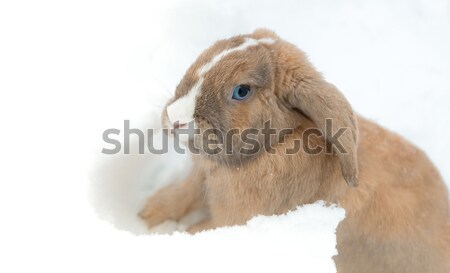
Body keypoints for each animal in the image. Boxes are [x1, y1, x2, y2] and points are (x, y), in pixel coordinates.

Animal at [139, 29, 448, 272]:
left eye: (241, 91)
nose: (174, 118)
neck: (278, 144)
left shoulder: (230, 220)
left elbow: (197, 230)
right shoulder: (198, 180)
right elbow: (182, 194)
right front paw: (147, 216)